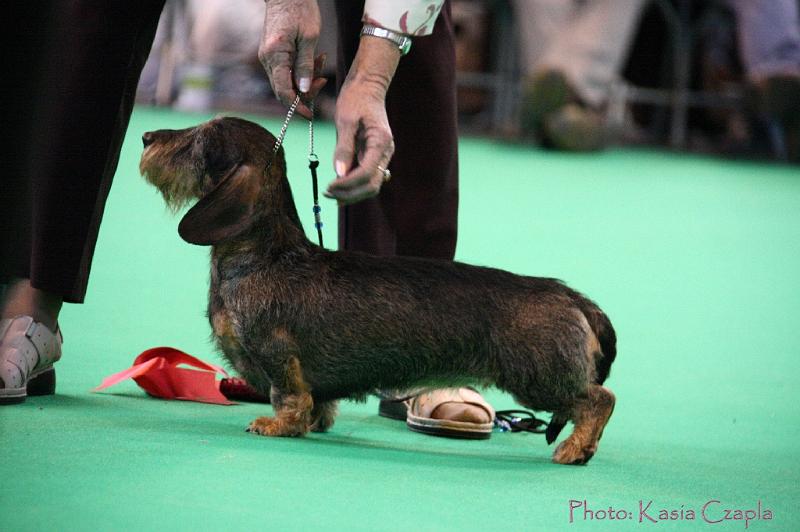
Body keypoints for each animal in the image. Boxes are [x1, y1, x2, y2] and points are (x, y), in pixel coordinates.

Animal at [141, 117, 620, 466]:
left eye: (201, 140)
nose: (145, 136)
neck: (265, 255)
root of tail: (573, 298)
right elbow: (319, 402)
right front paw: (315, 422)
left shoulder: (278, 354)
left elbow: (288, 397)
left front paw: (278, 424)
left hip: (538, 376)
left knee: (599, 399)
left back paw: (576, 448)